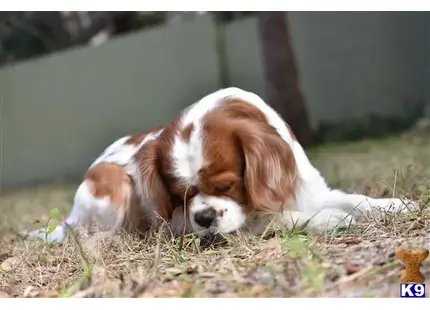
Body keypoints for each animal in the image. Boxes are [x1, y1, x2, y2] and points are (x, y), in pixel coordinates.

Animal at [27, 86, 420, 243]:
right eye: (180, 196)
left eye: (227, 185)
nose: (203, 216)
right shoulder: (182, 226)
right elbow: (276, 219)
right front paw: (331, 219)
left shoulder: (309, 189)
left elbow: (356, 199)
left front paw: (398, 205)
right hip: (112, 181)